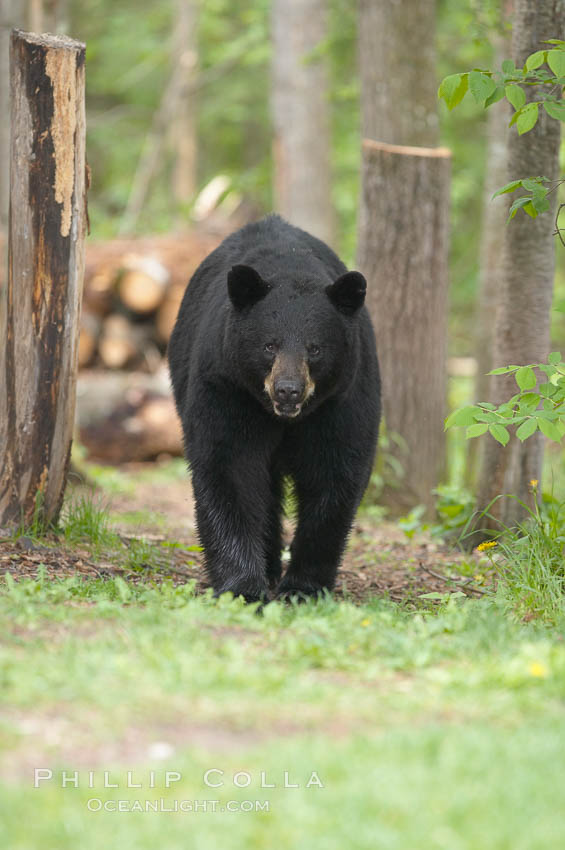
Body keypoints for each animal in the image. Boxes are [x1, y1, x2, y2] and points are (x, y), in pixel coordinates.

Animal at [168, 214, 380, 602]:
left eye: (314, 348)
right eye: (269, 346)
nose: (288, 391)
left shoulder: (343, 398)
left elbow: (336, 472)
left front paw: (303, 587)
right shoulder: (228, 387)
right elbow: (229, 466)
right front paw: (243, 587)